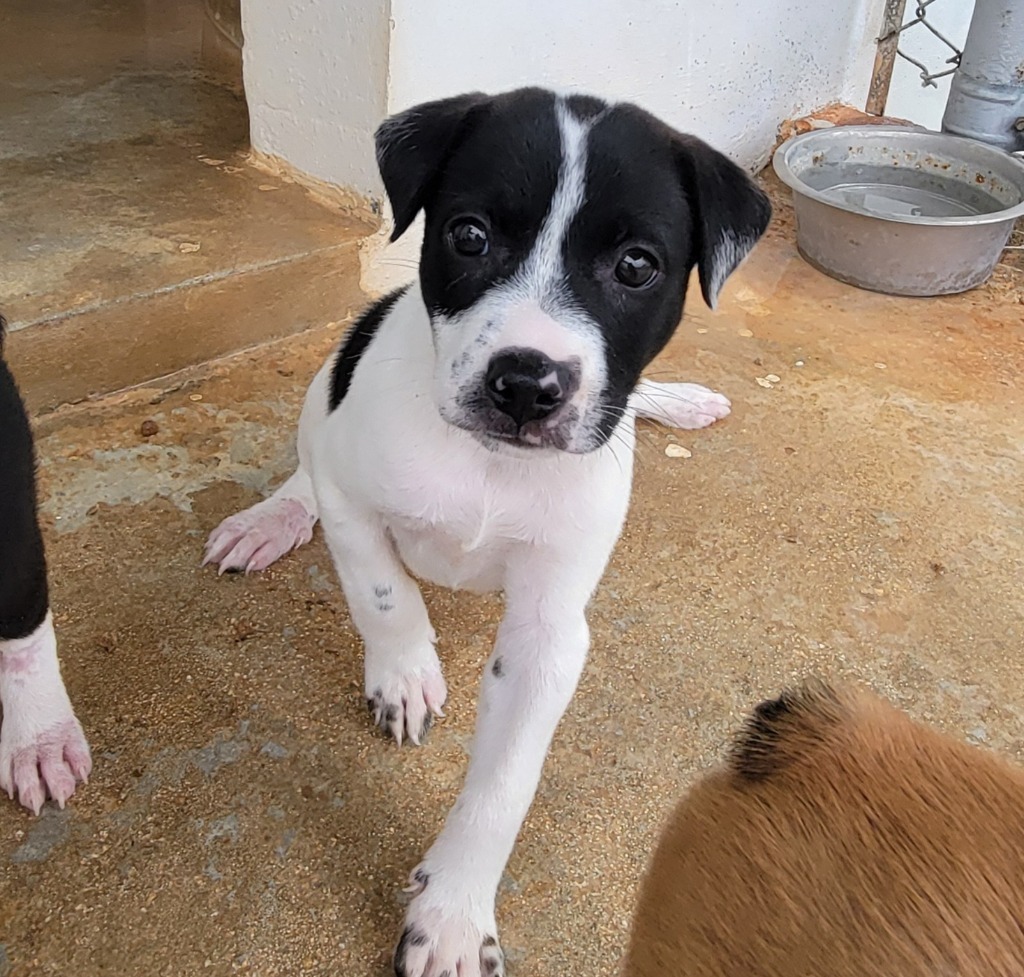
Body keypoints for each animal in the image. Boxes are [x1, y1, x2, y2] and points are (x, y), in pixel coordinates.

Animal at [205, 89, 770, 974]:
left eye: (636, 265)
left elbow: (505, 784)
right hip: (321, 400)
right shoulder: (350, 497)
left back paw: (676, 400)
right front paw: (405, 674)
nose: (528, 383)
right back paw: (272, 518)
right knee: (307, 468)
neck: (491, 465)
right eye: (469, 235)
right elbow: (383, 594)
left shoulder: (549, 629)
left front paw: (455, 914)